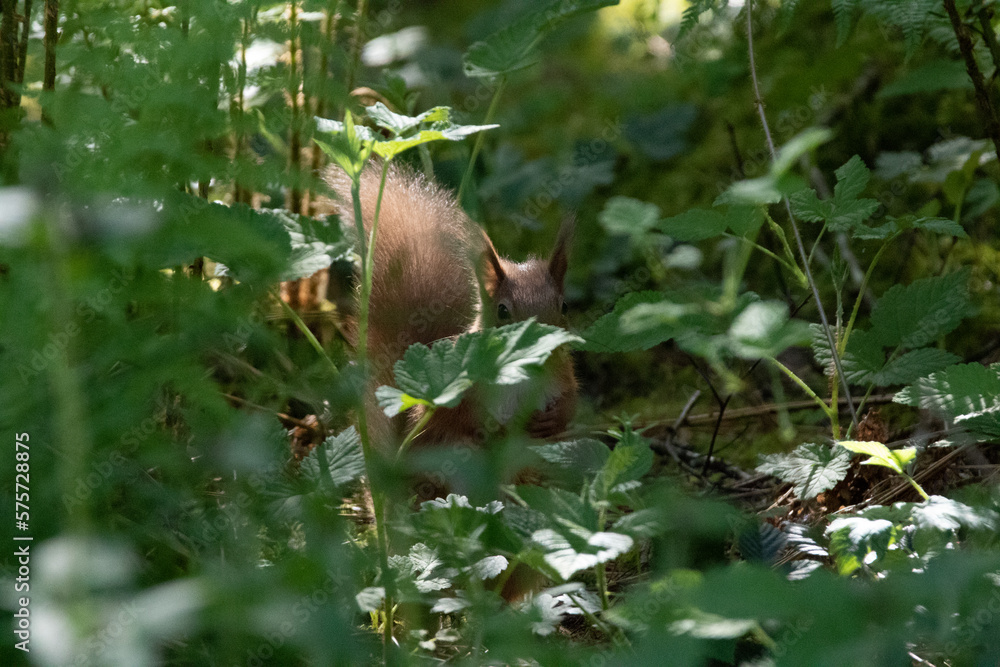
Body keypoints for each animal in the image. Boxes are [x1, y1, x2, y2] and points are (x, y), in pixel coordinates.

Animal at [327, 162, 577, 454]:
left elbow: (572, 402)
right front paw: (496, 430)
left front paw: (552, 418)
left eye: (564, 306)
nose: (544, 346)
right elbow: (452, 416)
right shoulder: (453, 384)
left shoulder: (561, 375)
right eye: (502, 311)